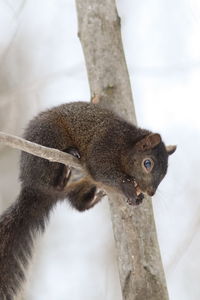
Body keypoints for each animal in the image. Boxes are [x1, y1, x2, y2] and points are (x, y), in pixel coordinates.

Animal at [0, 102, 175, 298]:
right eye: (147, 163)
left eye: (165, 173)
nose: (151, 192)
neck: (126, 144)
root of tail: (32, 188)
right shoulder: (104, 145)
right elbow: (100, 168)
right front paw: (129, 190)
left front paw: (136, 197)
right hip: (48, 139)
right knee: (52, 178)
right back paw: (65, 170)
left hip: (82, 184)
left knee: (78, 204)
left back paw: (93, 195)